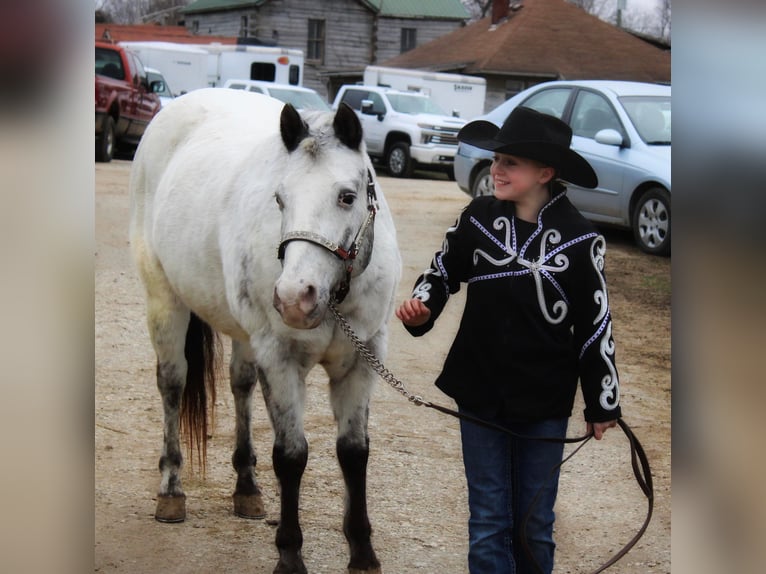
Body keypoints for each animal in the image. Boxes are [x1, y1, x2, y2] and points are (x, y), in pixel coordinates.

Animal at [129, 90, 402, 574]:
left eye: (347, 197)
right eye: (280, 198)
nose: (295, 297)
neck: (335, 296)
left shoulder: (363, 359)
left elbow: (353, 452)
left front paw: (363, 552)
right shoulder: (281, 359)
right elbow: (291, 455)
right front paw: (290, 555)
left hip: (244, 333)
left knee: (241, 384)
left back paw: (247, 488)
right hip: (165, 301)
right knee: (172, 384)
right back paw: (172, 491)